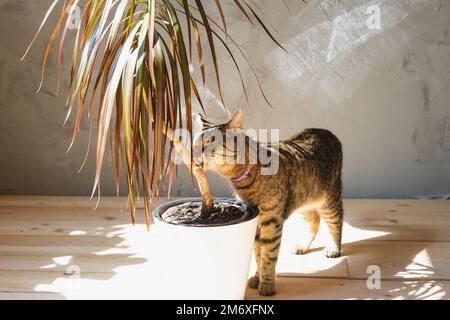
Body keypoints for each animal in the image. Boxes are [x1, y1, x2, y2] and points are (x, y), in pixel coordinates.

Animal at [193, 110, 344, 296]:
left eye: (210, 142)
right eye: (195, 144)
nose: (194, 152)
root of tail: (325, 130)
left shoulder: (272, 222)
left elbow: (268, 256)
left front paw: (267, 284)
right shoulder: (255, 223)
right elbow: (258, 255)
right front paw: (257, 278)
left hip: (329, 199)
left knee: (336, 222)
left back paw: (334, 248)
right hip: (303, 200)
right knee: (313, 221)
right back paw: (302, 245)